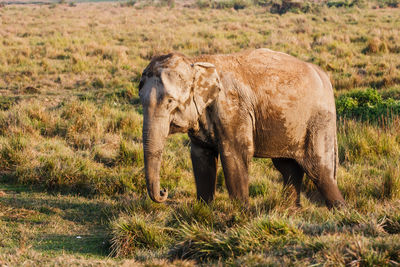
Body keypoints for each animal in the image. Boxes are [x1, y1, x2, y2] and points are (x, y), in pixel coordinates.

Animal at [138, 49, 344, 210]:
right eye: (141, 101)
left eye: (170, 102)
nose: (164, 191)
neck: (196, 62)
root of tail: (324, 76)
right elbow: (201, 157)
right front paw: (203, 211)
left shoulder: (233, 110)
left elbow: (235, 155)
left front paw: (241, 214)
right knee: (288, 167)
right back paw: (291, 211)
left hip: (318, 121)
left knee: (318, 170)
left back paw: (339, 211)